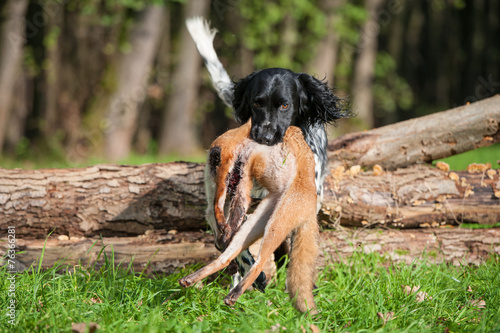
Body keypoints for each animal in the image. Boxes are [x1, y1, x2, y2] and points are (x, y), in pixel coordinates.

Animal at [180, 120, 318, 312]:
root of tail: (312, 209)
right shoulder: (240, 174)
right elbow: (229, 209)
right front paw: (224, 233)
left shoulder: (233, 165)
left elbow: (219, 207)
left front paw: (223, 229)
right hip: (259, 224)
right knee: (228, 258)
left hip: (275, 225)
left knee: (258, 261)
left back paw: (234, 293)